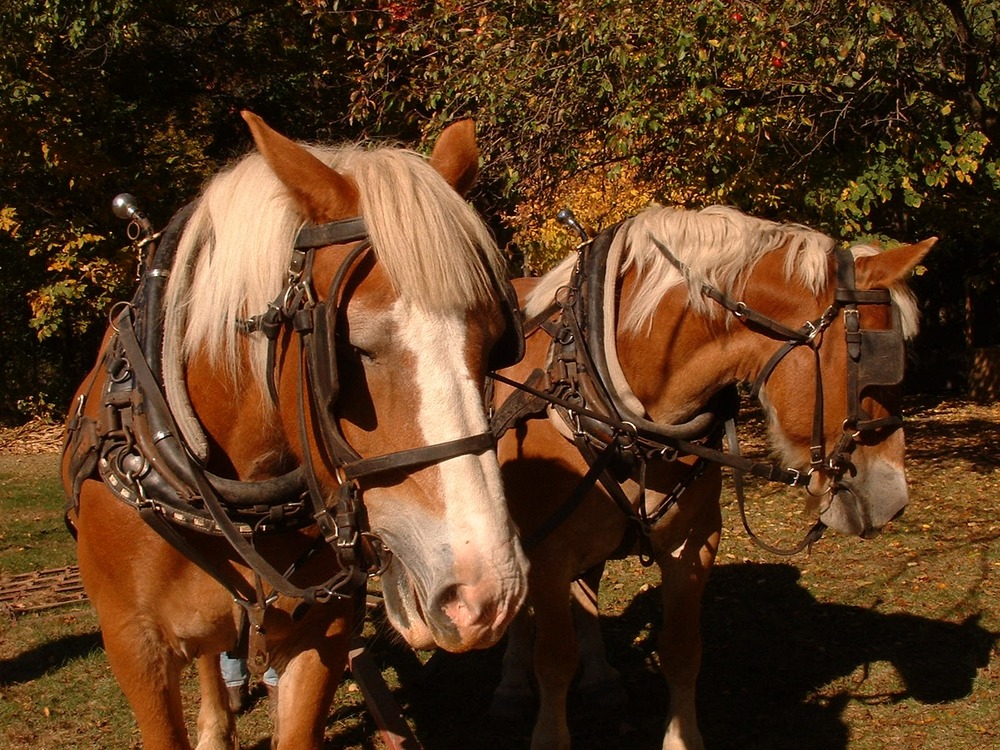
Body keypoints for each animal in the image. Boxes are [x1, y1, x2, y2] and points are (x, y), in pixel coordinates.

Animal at [487, 204, 935, 750]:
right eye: (875, 366)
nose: (893, 498)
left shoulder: (695, 543)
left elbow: (682, 652)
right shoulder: (549, 554)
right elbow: (553, 661)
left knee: (588, 588)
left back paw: (601, 678)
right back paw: (510, 685)